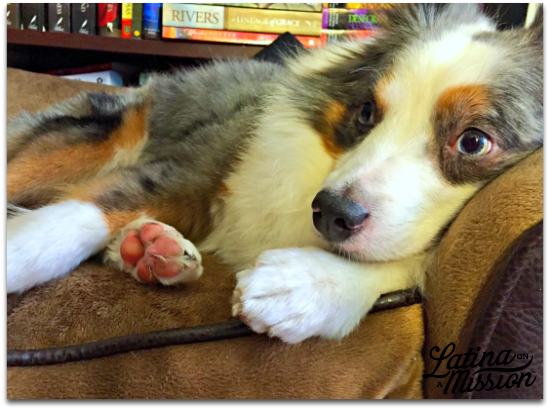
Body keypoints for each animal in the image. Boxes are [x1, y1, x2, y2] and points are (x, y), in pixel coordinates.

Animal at [6, 4, 544, 342]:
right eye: (367, 112)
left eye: (473, 141)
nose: (330, 213)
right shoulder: (198, 163)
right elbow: (84, 212)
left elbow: (406, 262)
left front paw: (304, 286)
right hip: (102, 132)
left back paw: (150, 249)